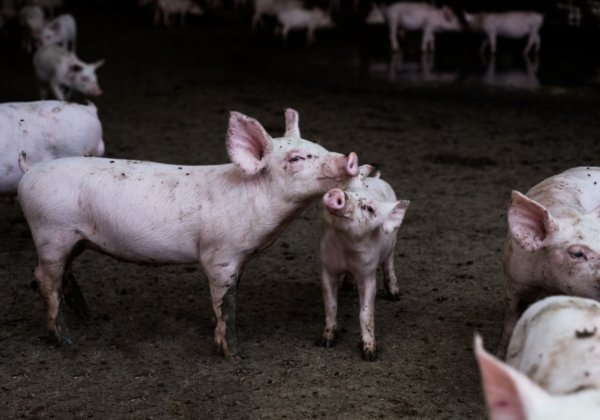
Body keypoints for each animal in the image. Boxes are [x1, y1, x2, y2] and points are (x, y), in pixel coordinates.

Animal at [16, 109, 358, 358]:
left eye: (321, 148)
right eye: (296, 158)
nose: (350, 158)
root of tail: (29, 171)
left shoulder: (240, 257)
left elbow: (228, 297)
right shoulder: (219, 256)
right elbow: (226, 301)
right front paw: (232, 354)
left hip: (74, 239)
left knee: (64, 273)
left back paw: (85, 315)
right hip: (51, 232)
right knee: (43, 277)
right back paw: (67, 341)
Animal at [318, 164, 408, 360]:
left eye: (369, 208)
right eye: (346, 190)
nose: (338, 193)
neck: (346, 246)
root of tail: (377, 178)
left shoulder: (368, 273)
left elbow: (365, 313)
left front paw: (370, 354)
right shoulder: (328, 268)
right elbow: (331, 305)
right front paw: (326, 342)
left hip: (393, 243)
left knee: (389, 263)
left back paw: (395, 295)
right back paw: (347, 286)